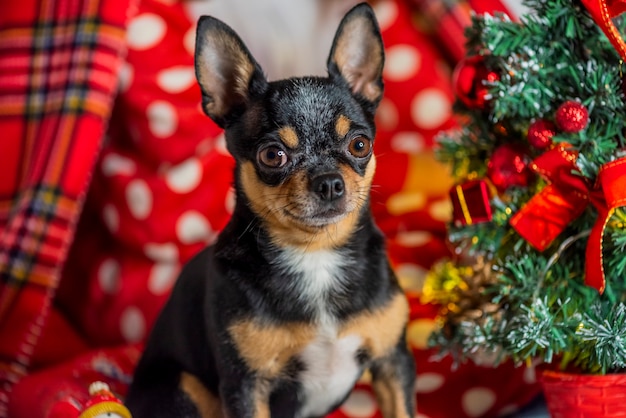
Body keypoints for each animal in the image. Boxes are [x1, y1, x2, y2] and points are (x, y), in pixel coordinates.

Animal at [124, 4, 414, 418]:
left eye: (360, 145)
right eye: (273, 155)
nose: (329, 182)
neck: (315, 255)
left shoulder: (393, 363)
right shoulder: (246, 388)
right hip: (186, 389)